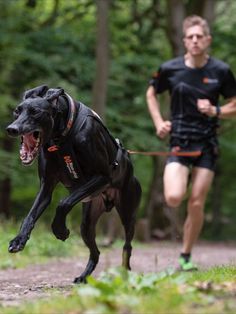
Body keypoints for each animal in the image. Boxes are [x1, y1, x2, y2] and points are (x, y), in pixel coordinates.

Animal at [6, 84, 141, 284]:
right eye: (17, 111)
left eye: (35, 112)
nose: (12, 129)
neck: (61, 136)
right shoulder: (46, 187)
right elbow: (30, 216)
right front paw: (19, 240)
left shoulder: (103, 176)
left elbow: (64, 203)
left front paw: (59, 229)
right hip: (87, 223)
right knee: (96, 252)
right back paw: (84, 277)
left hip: (127, 214)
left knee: (127, 245)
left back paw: (125, 273)